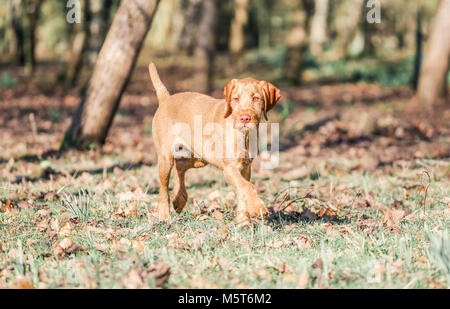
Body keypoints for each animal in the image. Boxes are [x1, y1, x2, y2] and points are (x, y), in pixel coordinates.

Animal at [149, 62, 280, 224]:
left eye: (256, 98)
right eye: (235, 99)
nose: (244, 118)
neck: (244, 135)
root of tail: (166, 99)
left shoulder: (245, 168)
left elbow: (242, 191)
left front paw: (243, 221)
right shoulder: (230, 168)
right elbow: (246, 187)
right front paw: (257, 207)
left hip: (200, 158)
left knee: (180, 167)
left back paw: (179, 199)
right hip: (165, 158)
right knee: (163, 187)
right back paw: (164, 214)